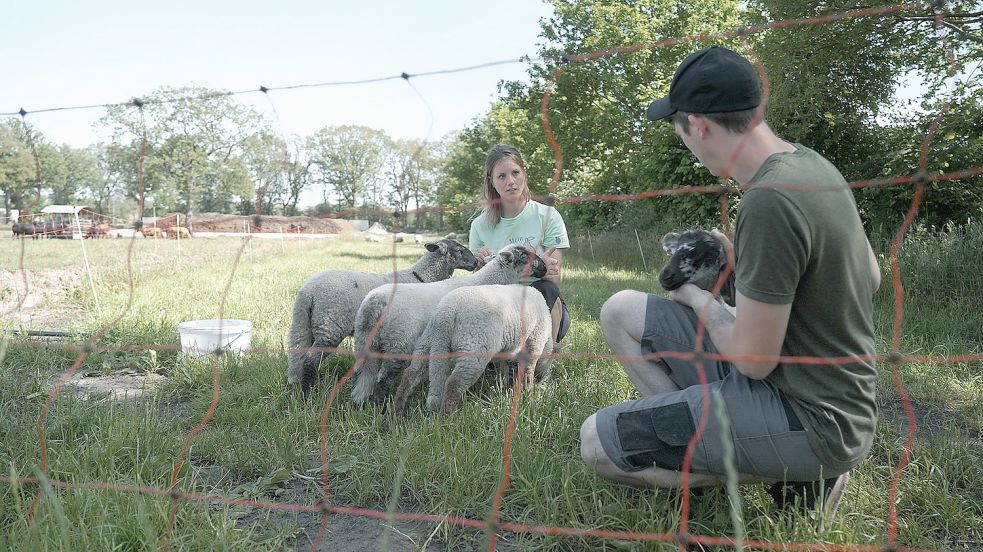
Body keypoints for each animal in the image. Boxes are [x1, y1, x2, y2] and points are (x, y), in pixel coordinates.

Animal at [286, 239, 478, 394]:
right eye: (459, 250)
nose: (476, 262)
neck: (422, 278)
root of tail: (307, 292)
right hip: (329, 325)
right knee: (310, 361)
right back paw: (307, 394)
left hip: (305, 323)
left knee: (298, 356)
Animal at [392, 282, 552, 416]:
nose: (541, 379)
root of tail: (445, 313)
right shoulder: (535, 341)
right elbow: (528, 371)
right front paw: (529, 397)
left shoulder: (504, 351)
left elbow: (503, 370)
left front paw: (502, 388)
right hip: (474, 348)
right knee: (454, 384)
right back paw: (445, 422)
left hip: (427, 343)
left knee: (410, 375)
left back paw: (396, 415)